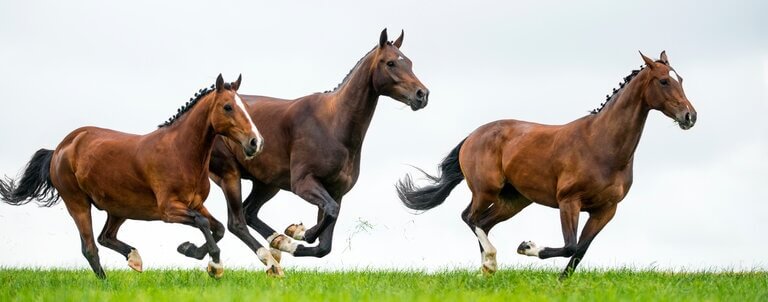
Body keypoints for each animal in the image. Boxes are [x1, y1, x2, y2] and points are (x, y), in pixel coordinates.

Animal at [0, 74, 264, 280]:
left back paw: (134, 259)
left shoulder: (196, 204)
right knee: (90, 248)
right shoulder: (169, 210)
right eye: (228, 107)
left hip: (119, 209)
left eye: (245, 106)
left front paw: (191, 251)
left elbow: (217, 228)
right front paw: (214, 265)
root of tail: (60, 148)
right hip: (78, 204)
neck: (180, 152)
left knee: (105, 237)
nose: (255, 142)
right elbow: (202, 223)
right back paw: (106, 284)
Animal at [192, 28, 428, 272]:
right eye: (390, 63)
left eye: (409, 62)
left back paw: (275, 243)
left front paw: (293, 237)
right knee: (236, 223)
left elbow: (325, 244)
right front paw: (302, 233)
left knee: (248, 213)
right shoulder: (304, 183)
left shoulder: (336, 191)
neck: (333, 125)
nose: (422, 94)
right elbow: (328, 216)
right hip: (230, 174)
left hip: (267, 184)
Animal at [400, 51, 700, 278]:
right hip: (486, 191)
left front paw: (561, 283)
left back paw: (487, 271)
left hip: (513, 201)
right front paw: (526, 246)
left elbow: (580, 250)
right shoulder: (569, 201)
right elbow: (570, 246)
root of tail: (473, 135)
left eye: (681, 79)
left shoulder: (606, 210)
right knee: (469, 218)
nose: (690, 116)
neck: (602, 145)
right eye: (664, 81)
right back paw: (491, 262)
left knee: (483, 223)